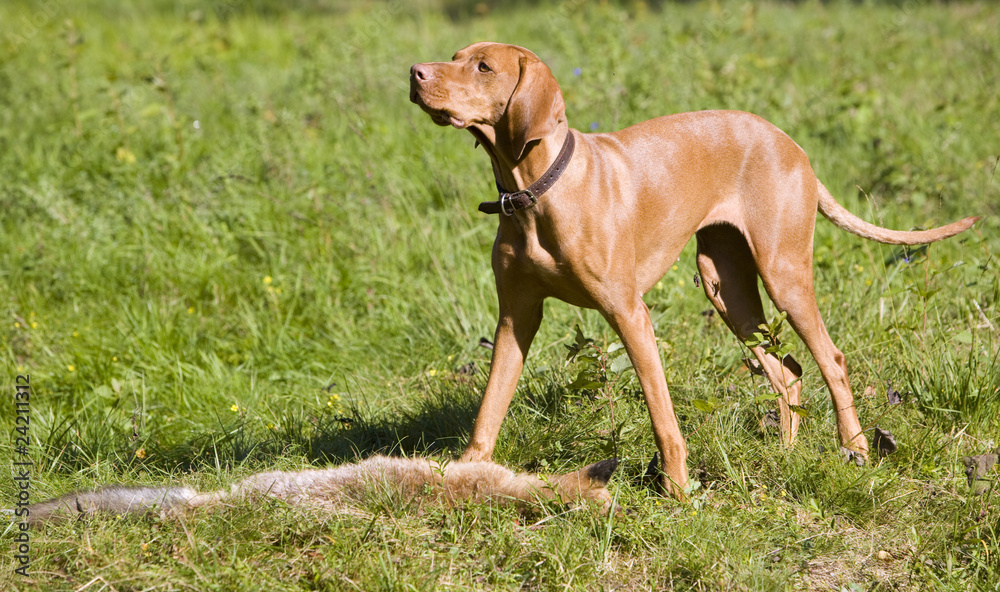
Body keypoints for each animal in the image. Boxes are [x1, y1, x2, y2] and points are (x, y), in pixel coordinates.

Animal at [406, 41, 976, 498]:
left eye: (483, 67)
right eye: (455, 56)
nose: (414, 71)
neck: (535, 191)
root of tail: (790, 142)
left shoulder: (630, 315)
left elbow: (663, 418)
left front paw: (677, 492)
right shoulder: (515, 318)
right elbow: (488, 411)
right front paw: (463, 475)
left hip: (783, 275)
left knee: (831, 359)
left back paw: (855, 448)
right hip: (726, 286)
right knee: (787, 371)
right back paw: (787, 454)